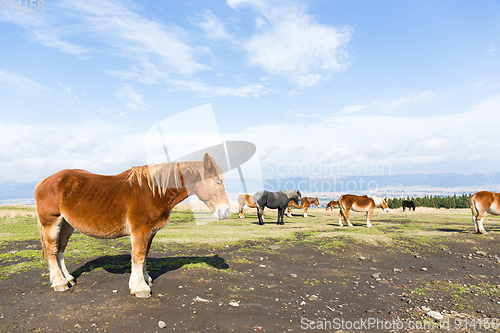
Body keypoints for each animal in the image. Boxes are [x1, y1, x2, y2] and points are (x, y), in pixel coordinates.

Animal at [34, 152, 229, 296]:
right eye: (217, 182)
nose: (226, 210)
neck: (154, 191)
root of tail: (44, 181)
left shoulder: (150, 232)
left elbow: (145, 256)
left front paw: (145, 278)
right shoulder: (140, 230)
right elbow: (138, 255)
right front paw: (140, 287)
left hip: (66, 225)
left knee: (60, 249)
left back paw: (68, 278)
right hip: (51, 222)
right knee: (52, 250)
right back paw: (59, 282)